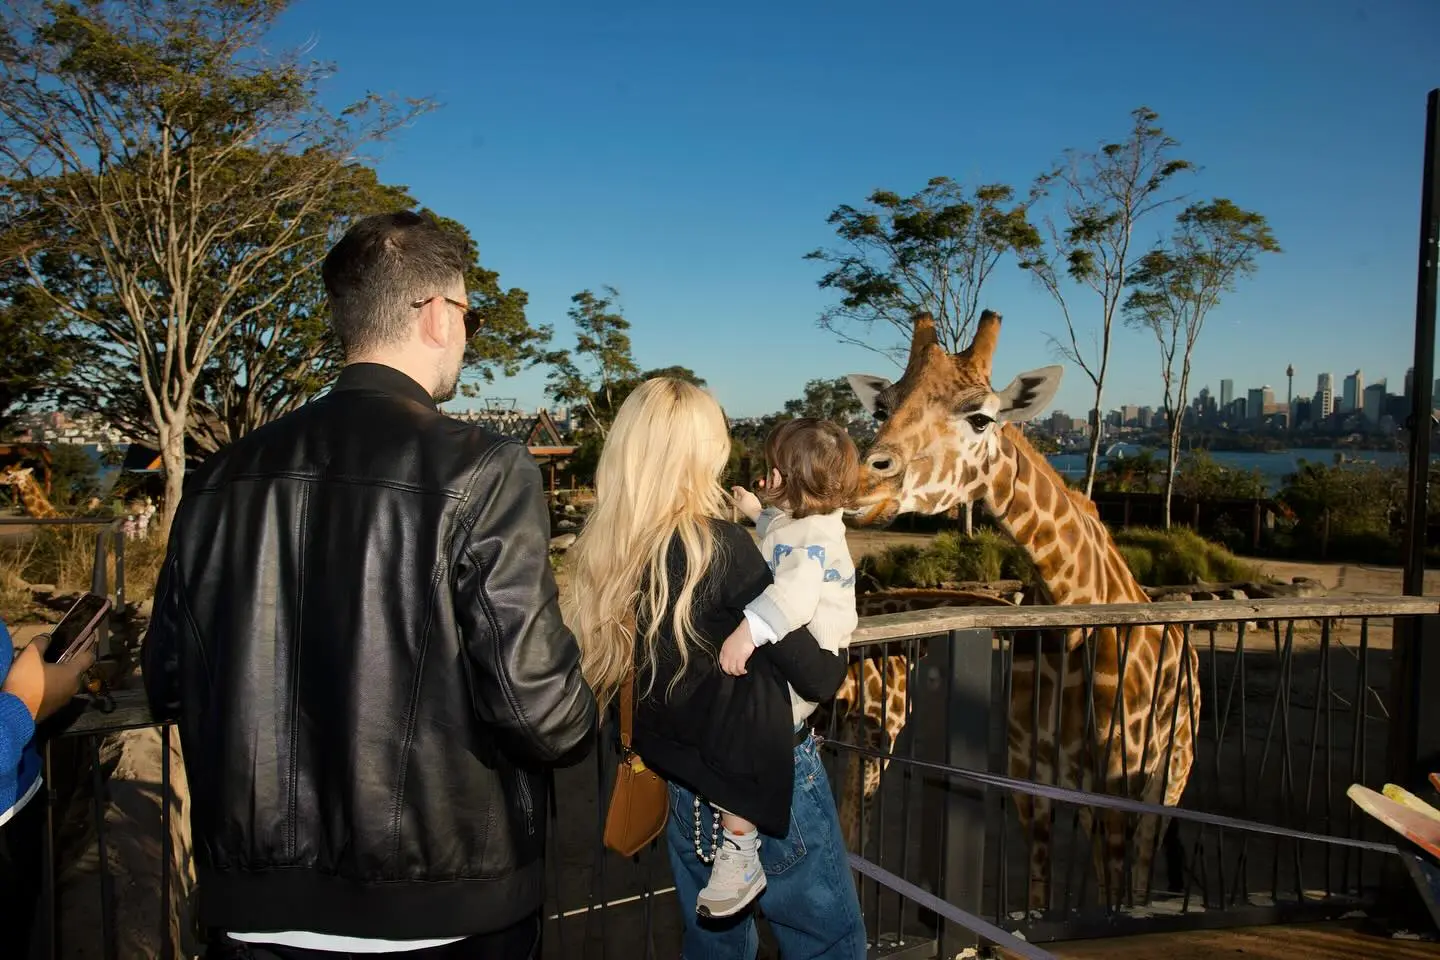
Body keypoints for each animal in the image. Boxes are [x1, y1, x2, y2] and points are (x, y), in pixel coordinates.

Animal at [842, 309, 1199, 912]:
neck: (1069, 602)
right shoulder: (1030, 781)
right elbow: (1036, 897)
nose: (865, 484)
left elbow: (1113, 894)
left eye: (981, 418)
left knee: (1139, 870)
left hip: (1170, 774)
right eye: (881, 408)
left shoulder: (1121, 782)